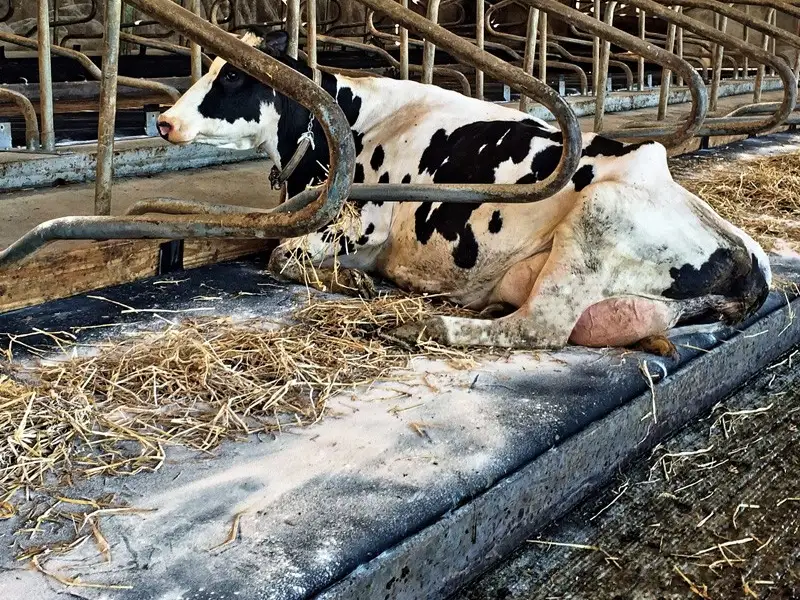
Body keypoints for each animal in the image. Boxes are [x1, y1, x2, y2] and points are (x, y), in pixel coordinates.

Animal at [156, 28, 771, 353]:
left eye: (234, 76)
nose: (163, 121)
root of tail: (744, 255)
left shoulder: (367, 222)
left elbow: (282, 255)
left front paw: (358, 284)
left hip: (598, 218)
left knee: (540, 327)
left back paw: (425, 323)